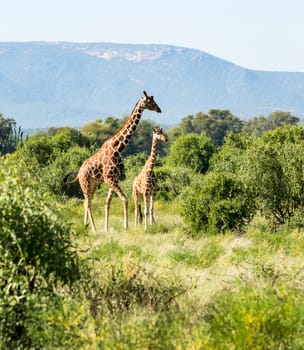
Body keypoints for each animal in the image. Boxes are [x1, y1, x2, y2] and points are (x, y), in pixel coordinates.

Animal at [66, 91, 162, 231]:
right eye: (150, 101)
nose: (159, 109)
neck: (118, 148)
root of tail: (79, 173)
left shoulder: (114, 178)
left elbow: (108, 203)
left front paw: (107, 228)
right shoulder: (109, 178)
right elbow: (125, 200)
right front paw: (126, 227)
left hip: (93, 184)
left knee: (86, 202)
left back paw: (86, 225)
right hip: (85, 183)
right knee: (88, 203)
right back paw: (94, 229)